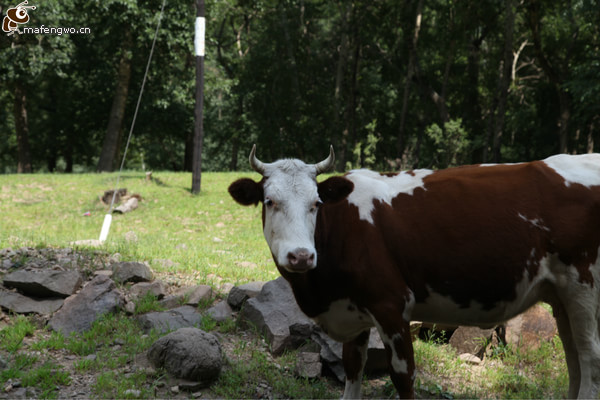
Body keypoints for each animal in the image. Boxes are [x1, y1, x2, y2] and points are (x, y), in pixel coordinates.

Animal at [227, 147, 600, 400]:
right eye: (270, 201)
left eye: (316, 204)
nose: (302, 256)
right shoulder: (354, 312)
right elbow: (352, 368)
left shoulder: (391, 306)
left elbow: (403, 376)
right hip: (562, 296)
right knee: (574, 361)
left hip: (585, 287)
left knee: (590, 359)